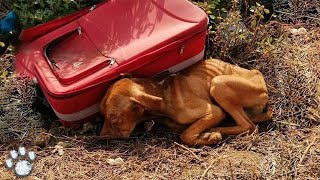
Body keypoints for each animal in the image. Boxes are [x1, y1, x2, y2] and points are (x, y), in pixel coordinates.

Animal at [100, 59, 272, 146]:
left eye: (114, 118)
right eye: (102, 115)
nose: (101, 137)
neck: (162, 93)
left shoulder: (214, 111)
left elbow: (186, 135)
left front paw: (209, 136)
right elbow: (185, 130)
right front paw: (205, 136)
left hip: (218, 84)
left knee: (248, 125)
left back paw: (218, 129)